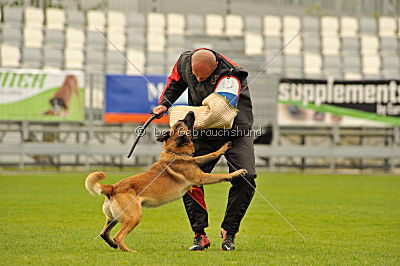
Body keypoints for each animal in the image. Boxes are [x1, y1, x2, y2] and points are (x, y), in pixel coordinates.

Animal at [85, 111, 247, 252]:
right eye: (185, 121)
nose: (191, 111)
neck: (175, 152)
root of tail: (112, 187)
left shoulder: (195, 161)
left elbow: (210, 154)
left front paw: (223, 148)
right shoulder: (202, 177)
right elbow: (221, 175)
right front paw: (237, 172)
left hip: (114, 218)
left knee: (104, 233)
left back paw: (113, 245)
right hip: (134, 216)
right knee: (118, 236)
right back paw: (129, 250)